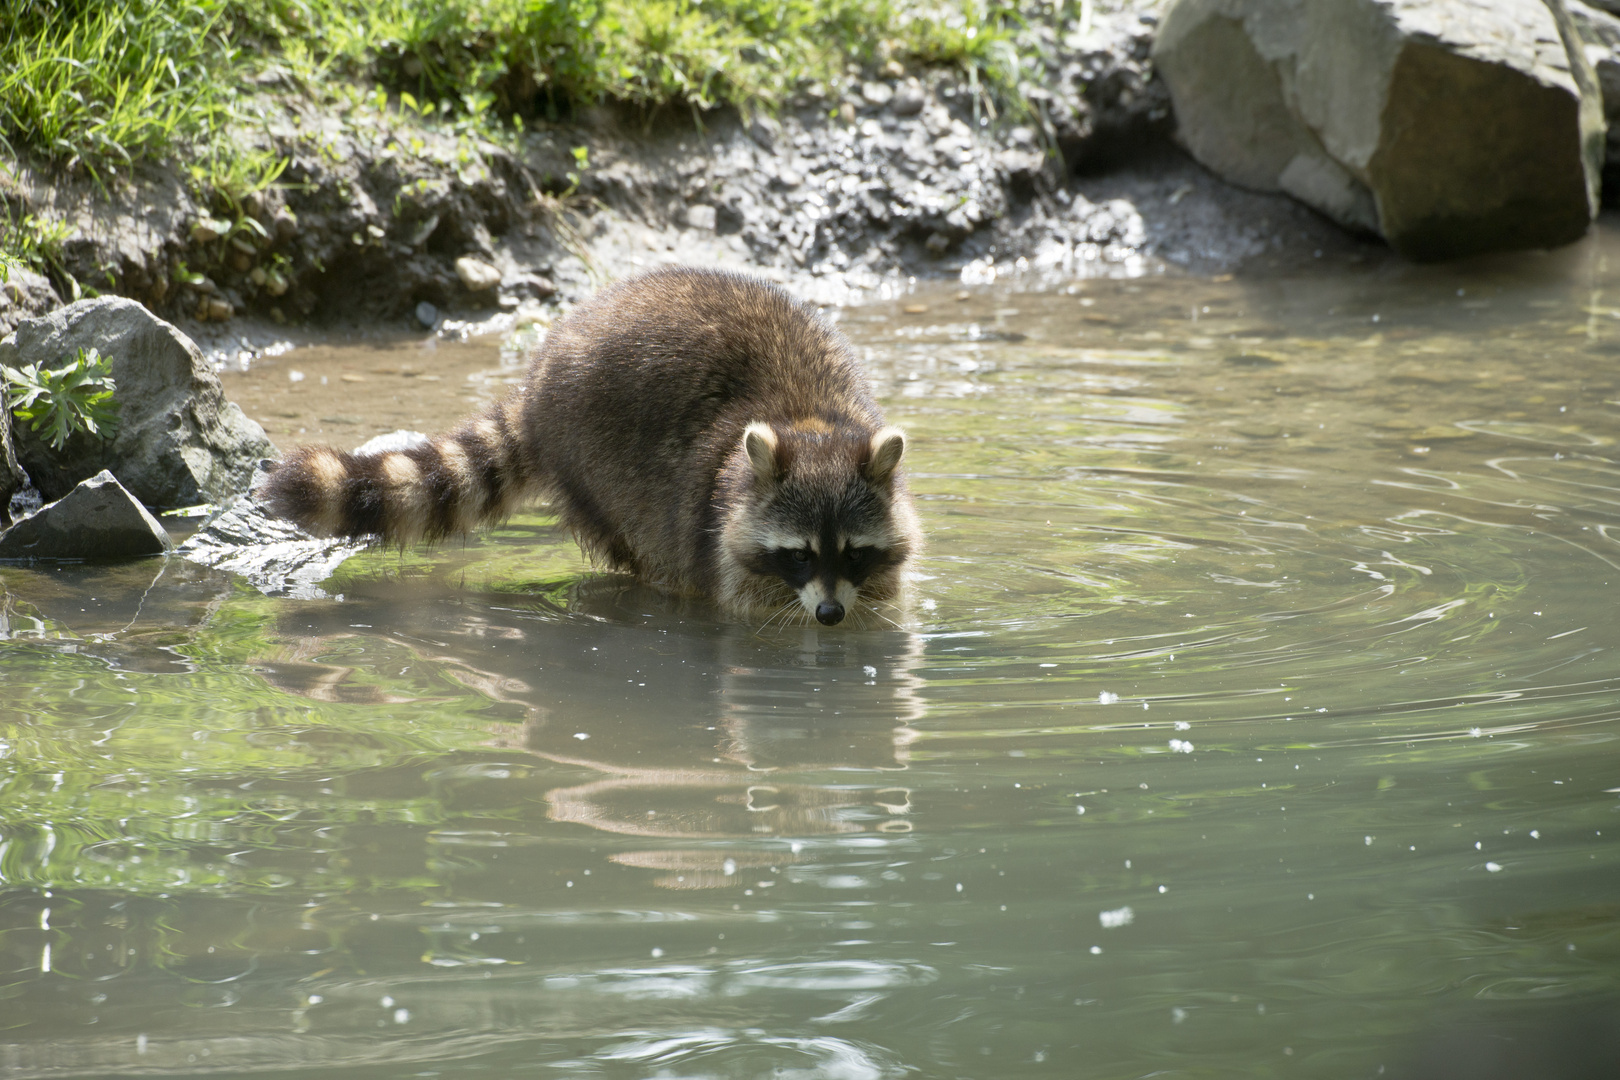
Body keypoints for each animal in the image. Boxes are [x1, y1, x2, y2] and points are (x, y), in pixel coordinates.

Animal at [265, 265, 926, 628]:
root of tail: (539, 379)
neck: (811, 424)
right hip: (592, 461)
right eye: (798, 555)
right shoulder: (716, 531)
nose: (830, 616)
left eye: (854, 553)